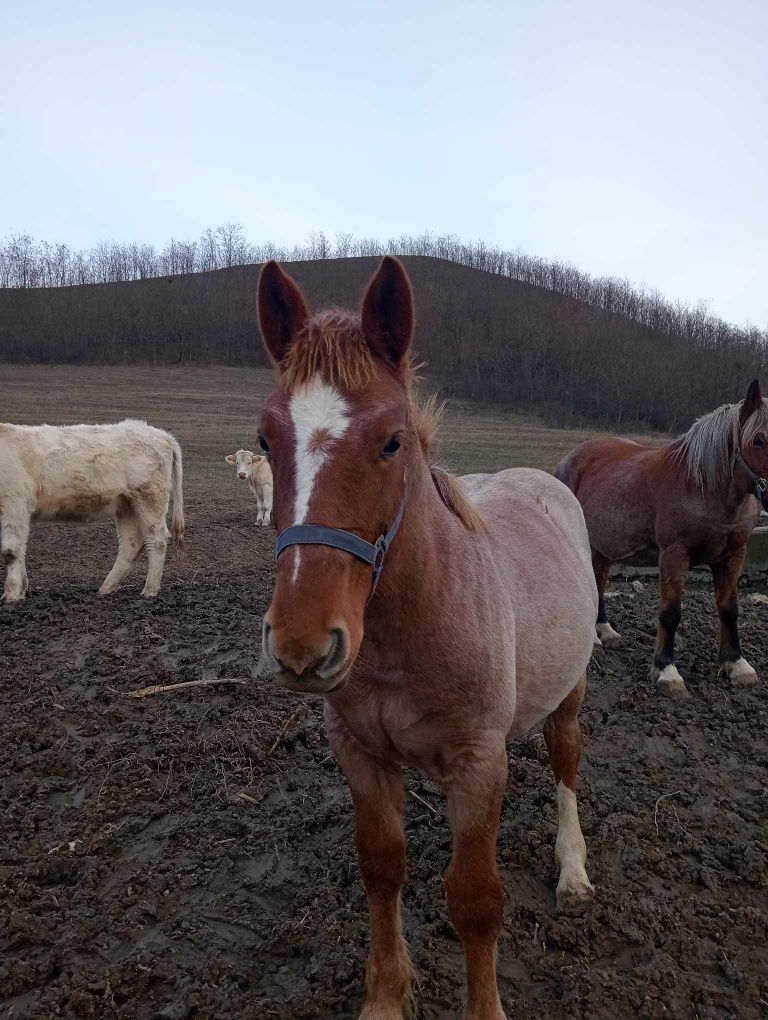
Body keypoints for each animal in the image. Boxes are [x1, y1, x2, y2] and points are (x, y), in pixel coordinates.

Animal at [0, 418, 184, 599]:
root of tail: (162, 435)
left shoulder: (14, 504)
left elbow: (11, 551)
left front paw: (12, 593)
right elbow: (20, 549)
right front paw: (21, 590)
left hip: (149, 497)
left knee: (157, 539)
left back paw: (150, 590)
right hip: (127, 505)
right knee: (130, 544)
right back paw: (106, 588)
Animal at [254, 257, 595, 1020]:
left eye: (392, 440)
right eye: (265, 440)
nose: (302, 643)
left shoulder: (477, 763)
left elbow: (475, 902)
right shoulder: (360, 754)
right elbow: (382, 869)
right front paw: (386, 996)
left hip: (570, 693)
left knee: (565, 761)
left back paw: (573, 867)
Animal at [550, 379, 766, 697]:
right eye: (758, 440)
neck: (702, 485)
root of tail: (569, 459)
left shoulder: (733, 555)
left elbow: (729, 609)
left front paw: (736, 664)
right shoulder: (674, 555)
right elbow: (670, 613)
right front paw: (666, 670)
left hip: (604, 545)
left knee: (599, 580)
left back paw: (604, 631)